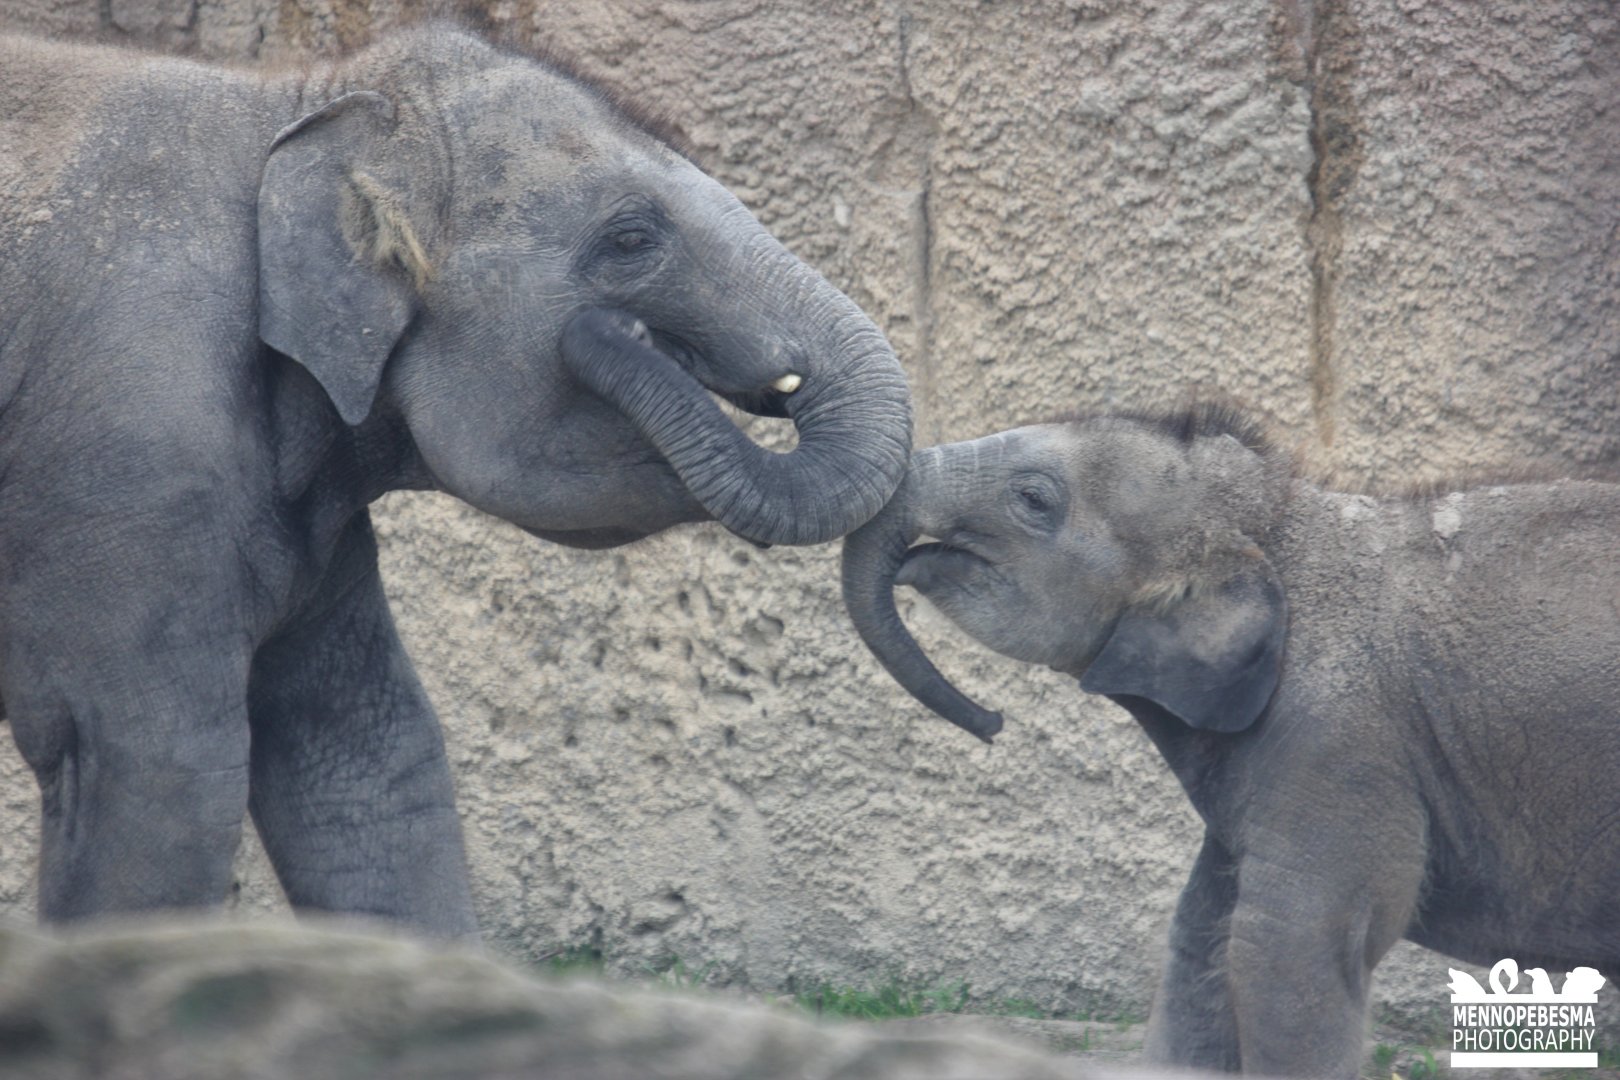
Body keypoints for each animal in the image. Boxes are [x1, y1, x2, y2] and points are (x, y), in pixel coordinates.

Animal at [0, 24, 912, 938]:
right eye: (631, 239)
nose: (617, 335)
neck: (295, 106)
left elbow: (369, 758)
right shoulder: (132, 460)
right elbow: (158, 772)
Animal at [842, 405, 1620, 1077]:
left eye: (1033, 499)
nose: (992, 723)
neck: (1282, 524)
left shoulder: (1343, 745)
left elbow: (1281, 948)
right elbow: (1198, 945)